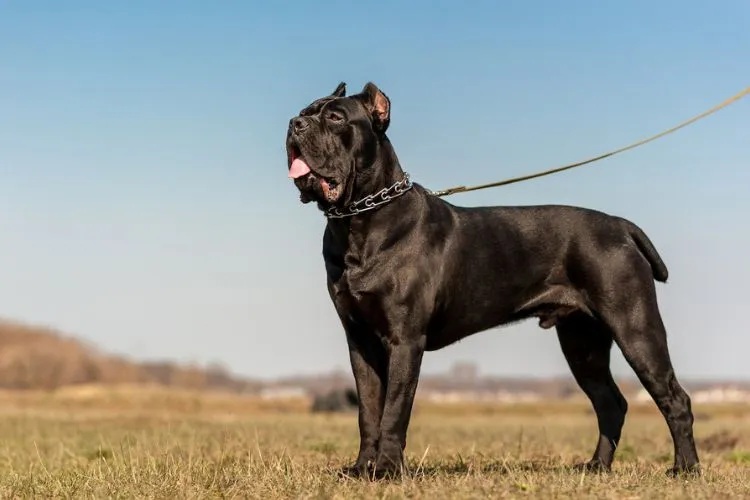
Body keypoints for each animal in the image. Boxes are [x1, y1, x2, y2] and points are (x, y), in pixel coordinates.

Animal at [284, 81, 704, 476]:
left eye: (335, 117)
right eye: (305, 112)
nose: (294, 124)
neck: (359, 220)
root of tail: (620, 225)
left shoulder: (405, 339)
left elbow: (394, 410)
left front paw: (387, 469)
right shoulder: (360, 341)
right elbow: (368, 411)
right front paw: (361, 469)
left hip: (636, 328)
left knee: (675, 398)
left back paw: (685, 468)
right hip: (582, 342)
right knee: (610, 403)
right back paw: (597, 466)